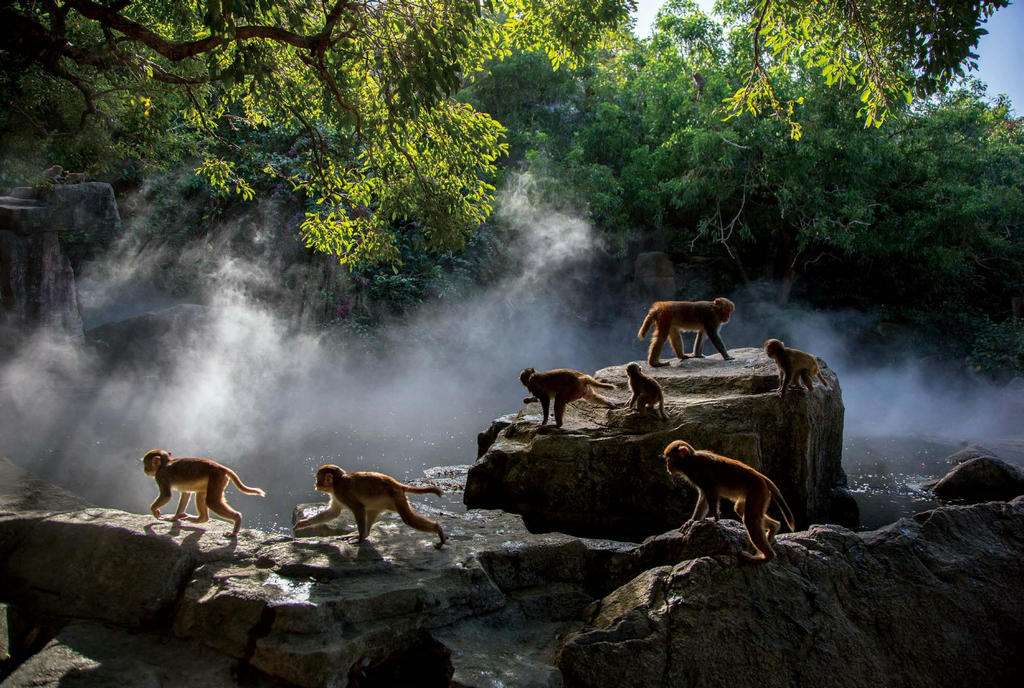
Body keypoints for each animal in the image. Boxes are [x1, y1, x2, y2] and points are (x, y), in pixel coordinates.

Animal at [292, 464, 444, 552]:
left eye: (318, 479)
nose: (315, 484)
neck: (337, 482)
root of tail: (396, 484)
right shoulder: (337, 495)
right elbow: (334, 513)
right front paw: (302, 523)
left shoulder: (342, 492)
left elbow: (358, 508)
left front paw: (359, 539)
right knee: (371, 511)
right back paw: (365, 535)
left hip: (396, 497)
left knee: (408, 519)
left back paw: (438, 529)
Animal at [659, 440, 794, 565]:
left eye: (670, 459)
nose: (667, 467)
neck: (691, 461)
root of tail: (761, 477)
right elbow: (704, 497)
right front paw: (693, 521)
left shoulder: (702, 473)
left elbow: (711, 493)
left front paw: (714, 517)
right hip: (758, 494)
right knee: (741, 510)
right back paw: (774, 528)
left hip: (758, 490)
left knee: (750, 519)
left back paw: (765, 557)